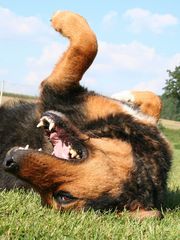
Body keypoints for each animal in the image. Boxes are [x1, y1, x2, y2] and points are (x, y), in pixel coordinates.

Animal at [0, 11, 172, 219]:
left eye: (63, 196)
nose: (8, 162)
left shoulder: (58, 90)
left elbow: (87, 46)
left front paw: (61, 17)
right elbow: (156, 101)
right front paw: (126, 96)